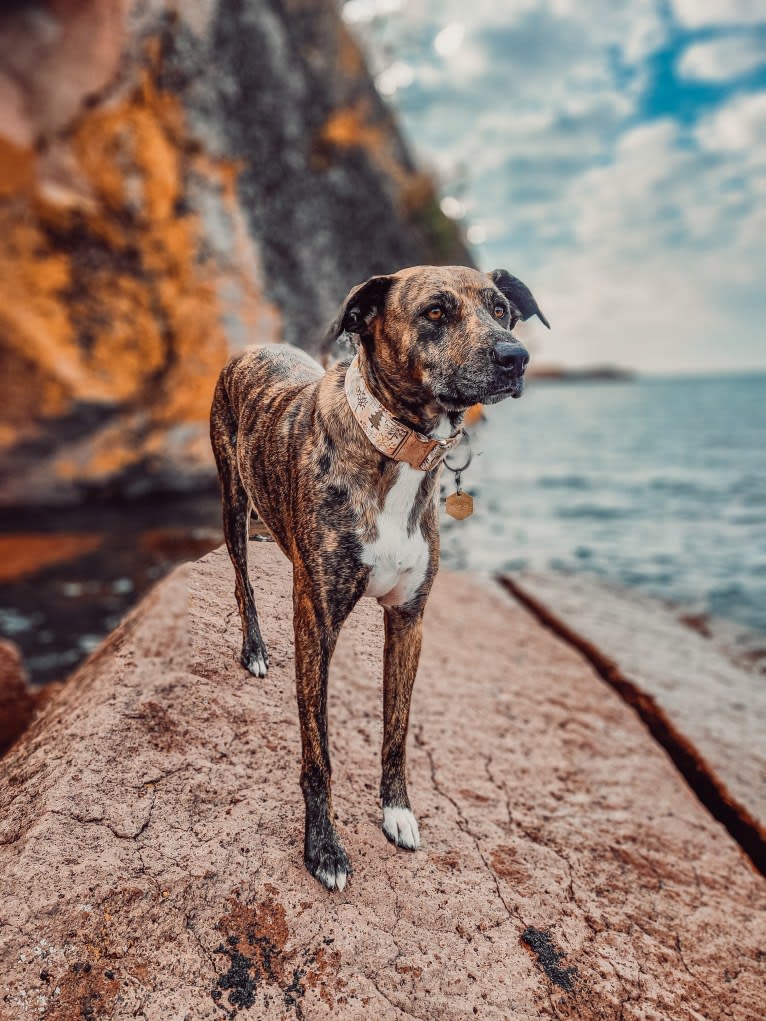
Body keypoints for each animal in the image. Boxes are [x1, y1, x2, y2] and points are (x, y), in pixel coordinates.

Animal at [207, 265, 547, 894]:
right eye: (435, 312)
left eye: (501, 310)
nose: (516, 357)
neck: (397, 447)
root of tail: (255, 346)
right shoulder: (317, 620)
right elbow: (318, 756)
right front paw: (324, 849)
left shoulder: (409, 620)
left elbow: (397, 729)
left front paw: (397, 811)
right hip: (232, 499)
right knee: (242, 579)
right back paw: (255, 649)